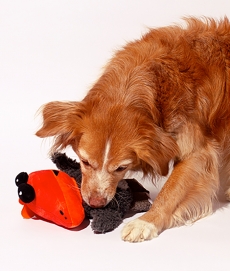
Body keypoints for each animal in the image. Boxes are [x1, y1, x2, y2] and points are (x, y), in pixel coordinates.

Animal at [35, 18, 230, 243]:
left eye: (121, 168)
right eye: (84, 162)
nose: (96, 203)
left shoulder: (198, 152)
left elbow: (171, 190)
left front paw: (145, 222)